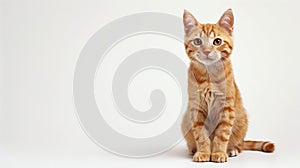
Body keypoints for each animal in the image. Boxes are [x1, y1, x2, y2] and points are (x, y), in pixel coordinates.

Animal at [180, 8, 274, 162]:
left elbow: (222, 134)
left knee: (240, 144)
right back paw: (193, 149)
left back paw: (232, 149)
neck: (209, 76)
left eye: (217, 41)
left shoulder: (227, 108)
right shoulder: (196, 108)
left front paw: (218, 153)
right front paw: (203, 152)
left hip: (242, 120)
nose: (206, 51)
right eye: (198, 41)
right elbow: (201, 134)